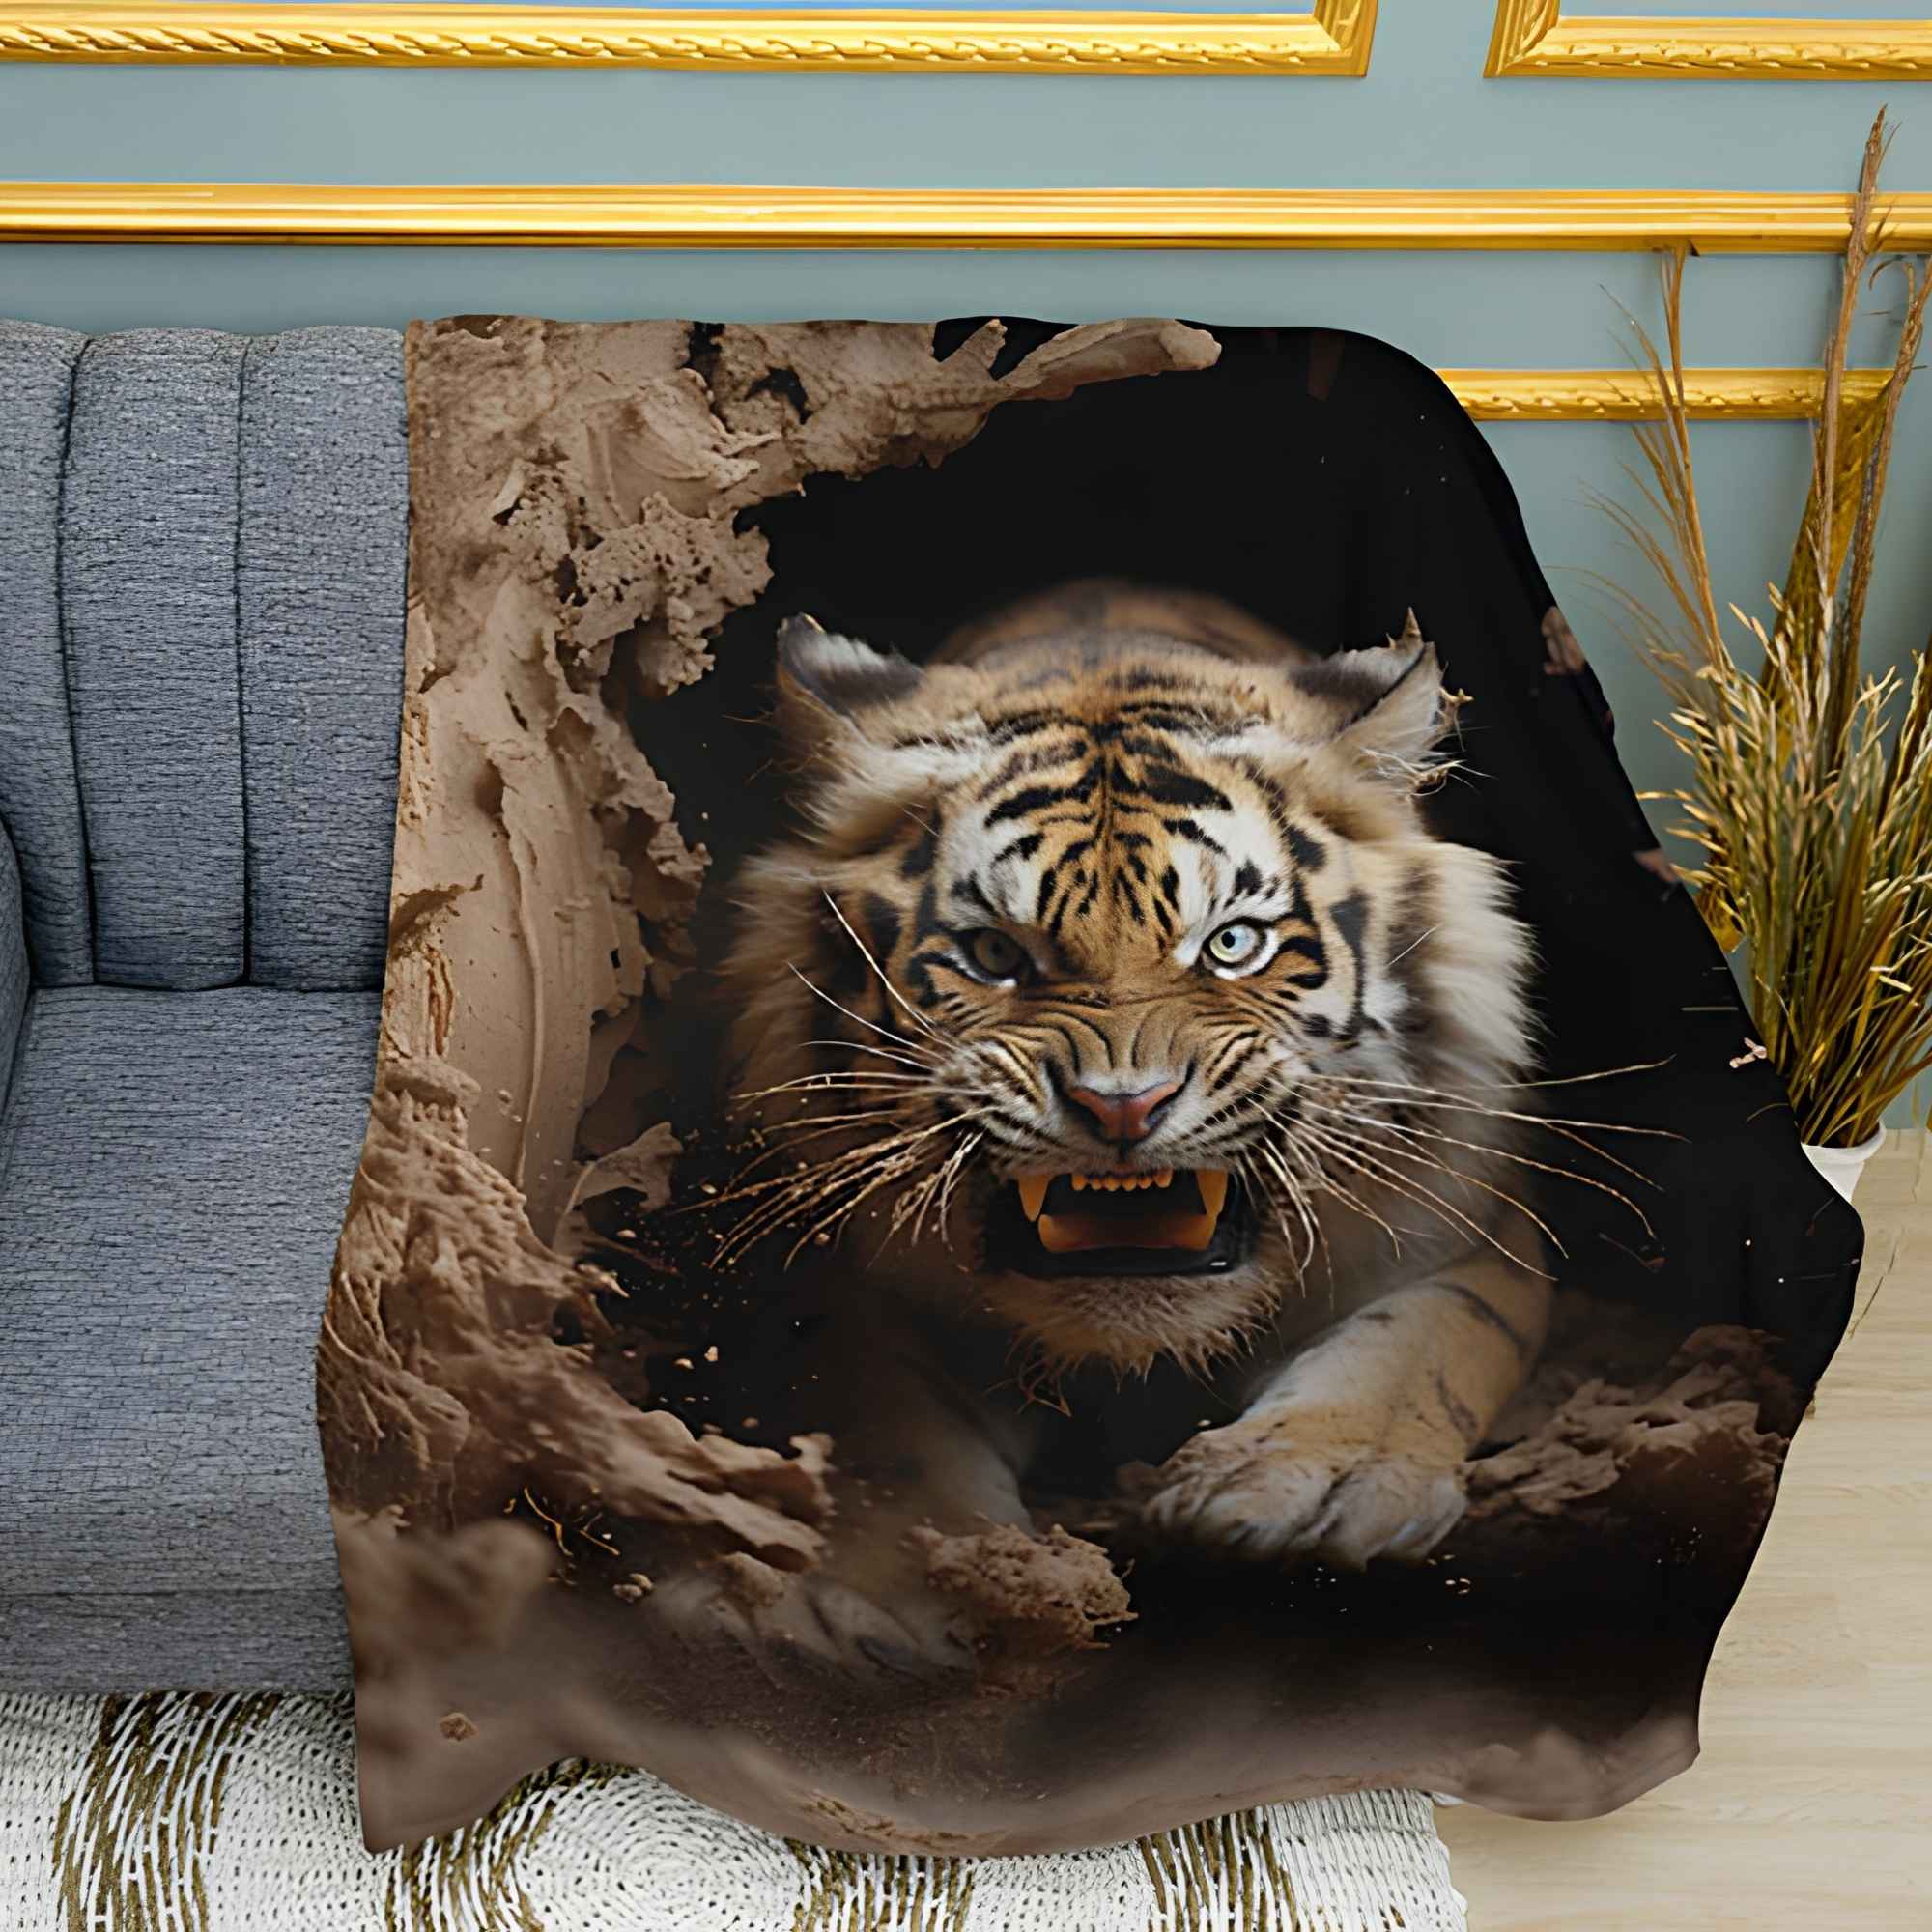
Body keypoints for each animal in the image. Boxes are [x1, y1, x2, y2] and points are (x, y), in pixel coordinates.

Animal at [698, 582, 1550, 1679]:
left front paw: (1303, 1485)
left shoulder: (1474, 1234)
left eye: (1232, 944)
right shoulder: (843, 1282)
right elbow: (880, 1416)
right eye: (993, 954)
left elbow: (1415, 1345)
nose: (1122, 1104)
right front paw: (882, 1584)